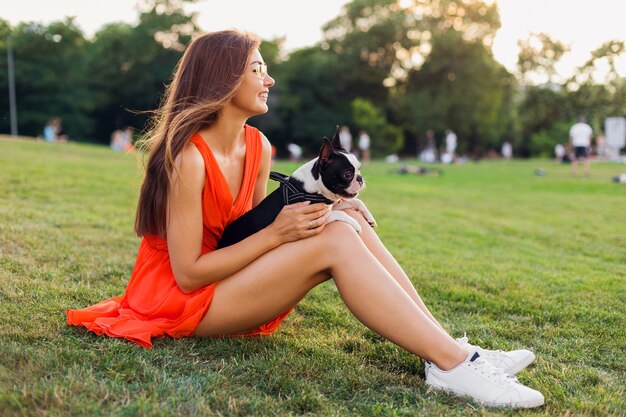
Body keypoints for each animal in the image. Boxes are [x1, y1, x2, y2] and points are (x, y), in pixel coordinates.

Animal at [218, 123, 376, 247]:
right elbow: (341, 213)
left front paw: (369, 217)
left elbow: (356, 201)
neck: (314, 188)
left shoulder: (328, 206)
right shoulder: (312, 218)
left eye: (359, 168)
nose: (360, 178)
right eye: (347, 175)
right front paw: (356, 224)